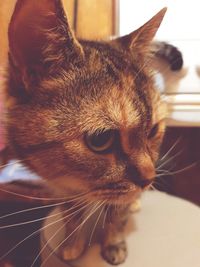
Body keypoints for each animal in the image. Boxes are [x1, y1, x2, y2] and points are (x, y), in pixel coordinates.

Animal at [0, 1, 182, 266]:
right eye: (101, 140)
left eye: (153, 131)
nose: (149, 179)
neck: (78, 182)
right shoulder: (59, 188)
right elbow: (71, 216)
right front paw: (72, 244)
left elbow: (116, 216)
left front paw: (113, 244)